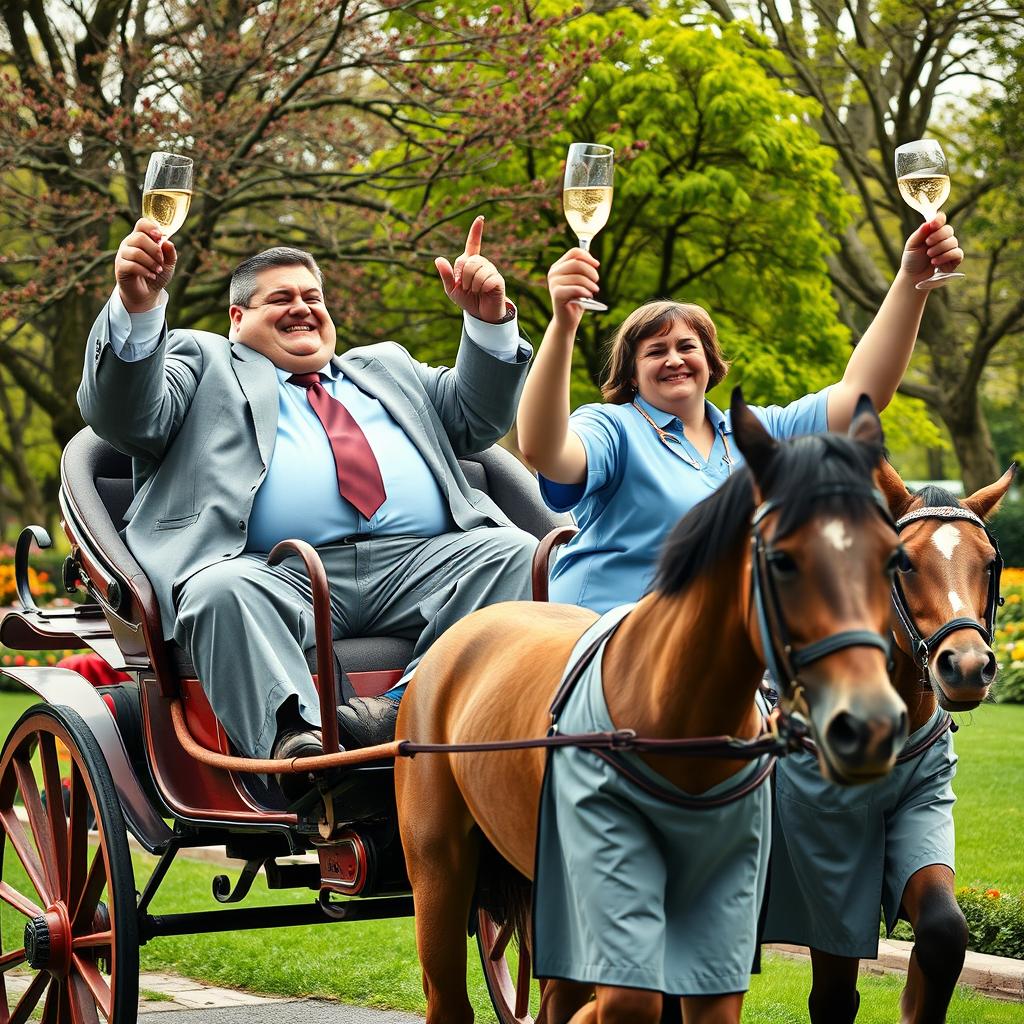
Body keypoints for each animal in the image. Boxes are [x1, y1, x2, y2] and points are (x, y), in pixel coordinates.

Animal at [395, 393, 909, 1024]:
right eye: (784, 560)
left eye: (893, 559)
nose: (870, 725)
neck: (678, 724)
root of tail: (457, 638)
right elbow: (624, 1000)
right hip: (438, 869)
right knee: (449, 993)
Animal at [778, 464, 1011, 1024]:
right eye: (902, 563)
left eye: (989, 563)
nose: (967, 666)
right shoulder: (829, 875)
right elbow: (833, 995)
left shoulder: (923, 817)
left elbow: (944, 935)